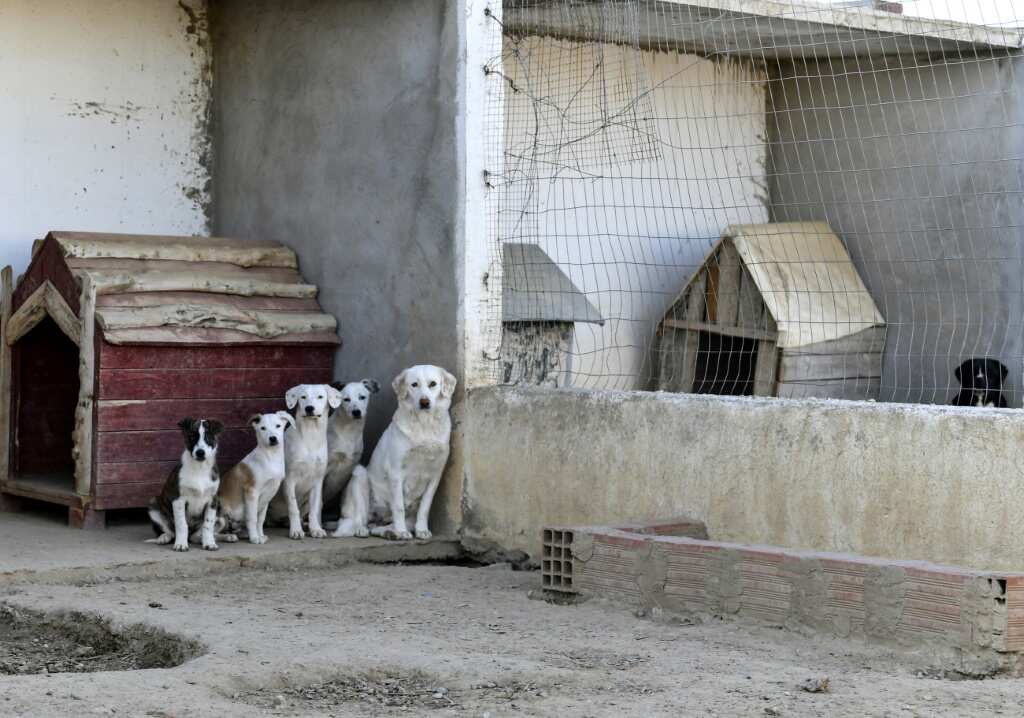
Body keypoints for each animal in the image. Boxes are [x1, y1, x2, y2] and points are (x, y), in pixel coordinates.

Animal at [145, 417, 227, 553]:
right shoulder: (178, 500)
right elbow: (182, 524)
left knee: (196, 535)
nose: (200, 453)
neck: (199, 467)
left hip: (220, 515)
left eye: (208, 437)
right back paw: (164, 538)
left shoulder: (213, 501)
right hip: (153, 504)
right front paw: (180, 544)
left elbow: (208, 525)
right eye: (192, 436)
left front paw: (209, 543)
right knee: (170, 531)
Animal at [218, 409, 294, 544]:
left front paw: (260, 535)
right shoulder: (252, 492)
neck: (270, 457)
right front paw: (254, 538)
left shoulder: (268, 495)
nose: (272, 438)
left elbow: (260, 520)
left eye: (278, 426)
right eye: (263, 428)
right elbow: (252, 518)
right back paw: (229, 537)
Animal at [268, 381, 339, 536]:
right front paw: (296, 530)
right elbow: (293, 508)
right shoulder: (289, 480)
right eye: (303, 397)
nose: (309, 408)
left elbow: (314, 509)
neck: (311, 436)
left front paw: (316, 529)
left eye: (320, 396)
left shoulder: (318, 481)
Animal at [333, 364, 454, 536]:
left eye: (433, 384)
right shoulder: (396, 471)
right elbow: (398, 507)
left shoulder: (435, 476)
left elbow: (425, 508)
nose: (424, 402)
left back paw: (389, 532)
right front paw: (401, 532)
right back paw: (365, 530)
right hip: (359, 474)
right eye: (414, 384)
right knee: (355, 522)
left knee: (376, 528)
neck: (424, 425)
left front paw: (422, 530)